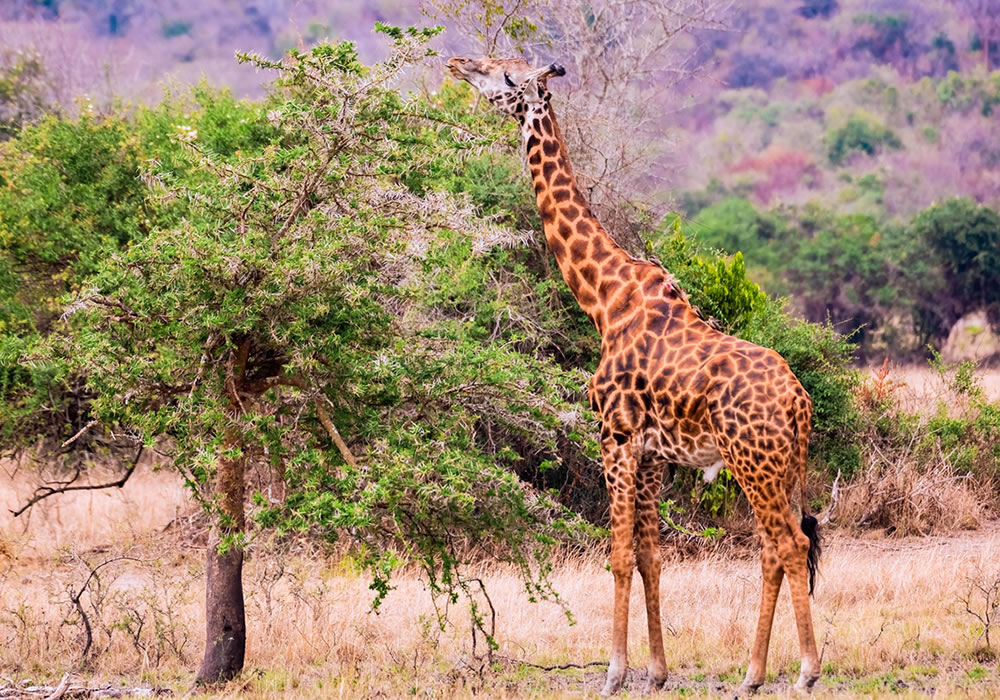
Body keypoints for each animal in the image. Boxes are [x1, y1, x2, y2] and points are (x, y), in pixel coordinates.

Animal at [450, 56, 824, 696]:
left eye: (506, 76)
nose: (456, 63)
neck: (604, 298)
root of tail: (798, 402)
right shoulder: (652, 454)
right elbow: (651, 555)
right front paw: (657, 670)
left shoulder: (616, 436)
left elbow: (620, 554)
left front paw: (614, 671)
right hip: (784, 465)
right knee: (776, 548)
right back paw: (752, 674)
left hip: (753, 460)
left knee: (790, 544)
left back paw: (801, 671)